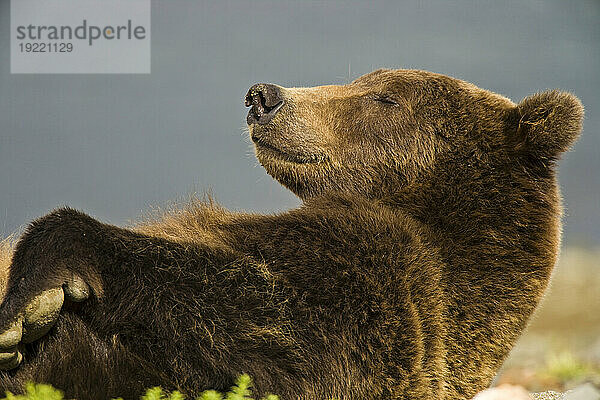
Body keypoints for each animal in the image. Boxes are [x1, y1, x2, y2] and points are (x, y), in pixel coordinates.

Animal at [0, 68, 584, 396]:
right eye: (363, 79)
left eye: (386, 98)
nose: (263, 96)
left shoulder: (382, 285)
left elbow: (262, 322)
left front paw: (32, 303)